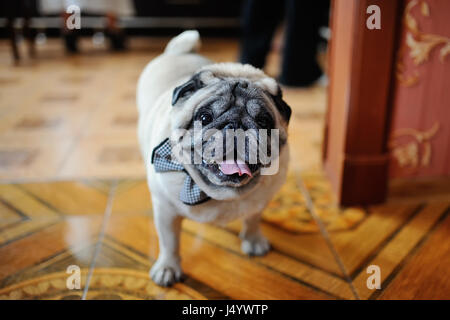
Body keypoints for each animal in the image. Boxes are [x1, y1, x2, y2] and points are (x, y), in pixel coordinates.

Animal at [137, 31, 292, 286]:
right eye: (204, 117)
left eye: (263, 122)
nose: (236, 125)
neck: (220, 192)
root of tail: (179, 51)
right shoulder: (165, 211)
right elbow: (169, 242)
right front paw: (168, 267)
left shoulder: (260, 202)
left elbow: (253, 219)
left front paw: (254, 240)